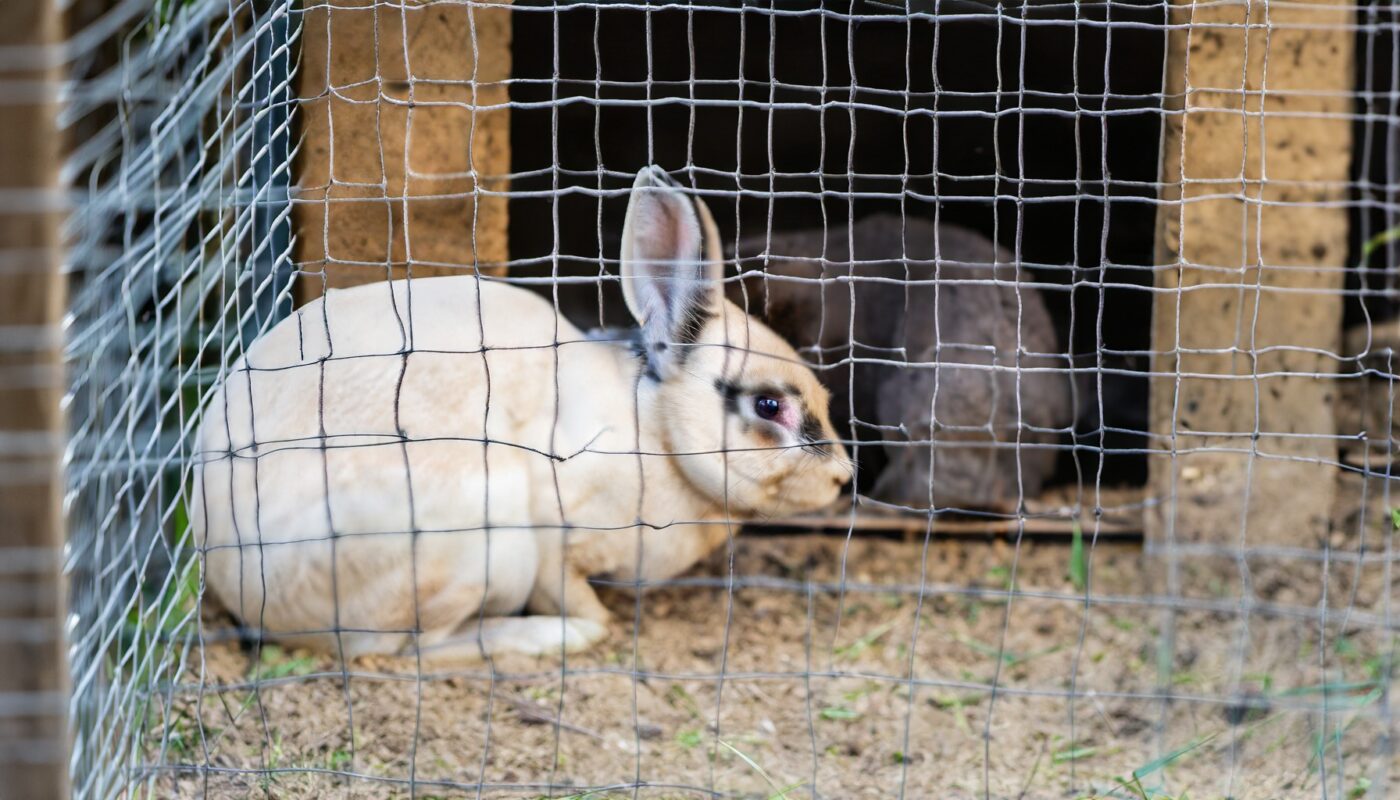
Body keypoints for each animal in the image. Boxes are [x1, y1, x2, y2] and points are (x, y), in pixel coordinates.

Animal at [190, 164, 845, 664]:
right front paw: (586, 623)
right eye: (769, 405)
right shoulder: (557, 537)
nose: (843, 477)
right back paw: (546, 636)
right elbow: (576, 596)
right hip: (478, 543)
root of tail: (241, 584)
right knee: (408, 648)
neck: (655, 432)